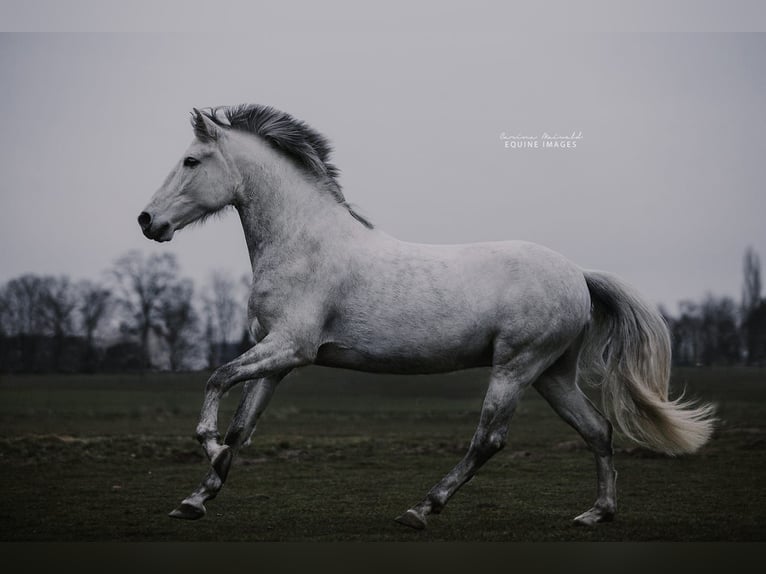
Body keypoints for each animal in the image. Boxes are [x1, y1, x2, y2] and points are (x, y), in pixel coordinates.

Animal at [136, 104, 712, 532]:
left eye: (191, 161)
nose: (147, 220)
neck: (303, 243)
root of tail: (578, 274)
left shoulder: (290, 347)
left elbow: (216, 380)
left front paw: (206, 446)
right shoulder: (277, 359)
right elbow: (241, 428)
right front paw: (195, 499)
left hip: (515, 367)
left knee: (488, 441)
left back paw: (421, 508)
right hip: (552, 374)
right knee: (597, 429)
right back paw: (596, 513)